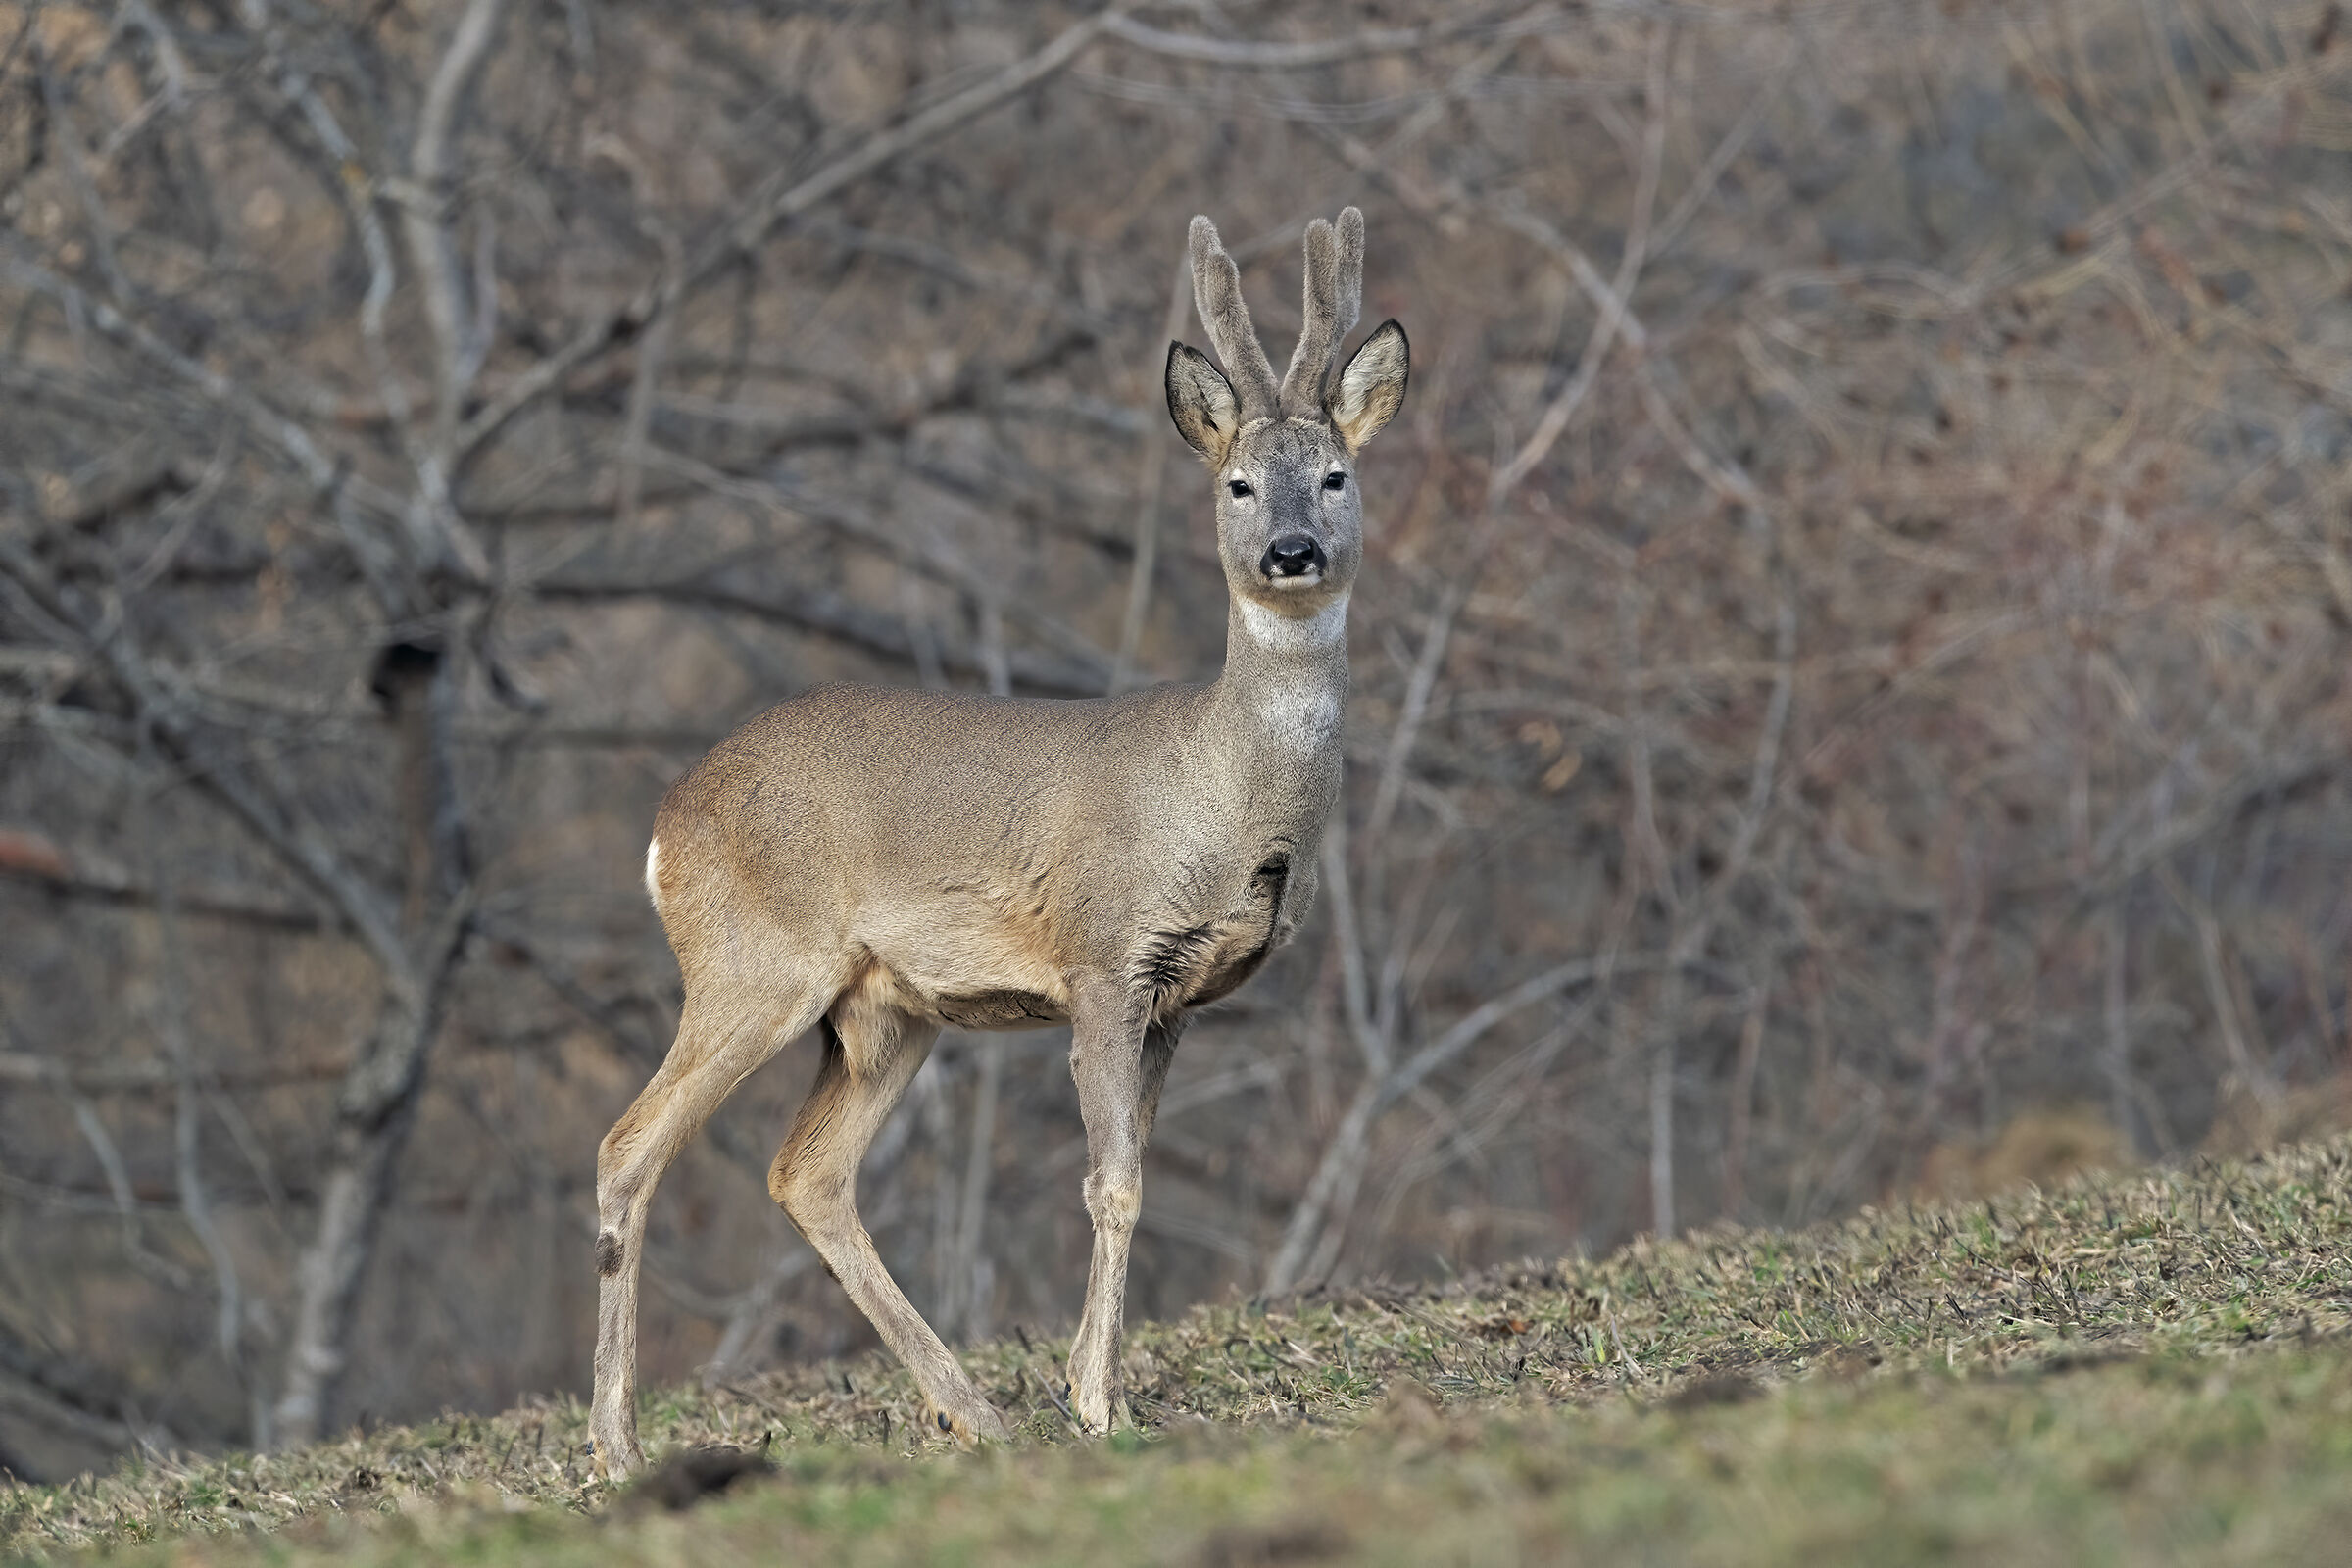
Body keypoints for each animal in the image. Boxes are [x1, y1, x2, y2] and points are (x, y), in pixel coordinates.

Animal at [589, 207, 1409, 1477]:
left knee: (807, 1173)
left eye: (1335, 475)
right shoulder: (1104, 954)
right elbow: (1111, 1184)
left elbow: (1131, 1172)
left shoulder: (1177, 996)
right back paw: (615, 1450)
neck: (1221, 794)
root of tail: (669, 823)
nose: (1289, 551)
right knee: (629, 1147)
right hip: (752, 963)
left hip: (882, 1011)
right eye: (1235, 482)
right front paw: (1100, 1405)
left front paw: (1078, 1386)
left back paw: (970, 1411)